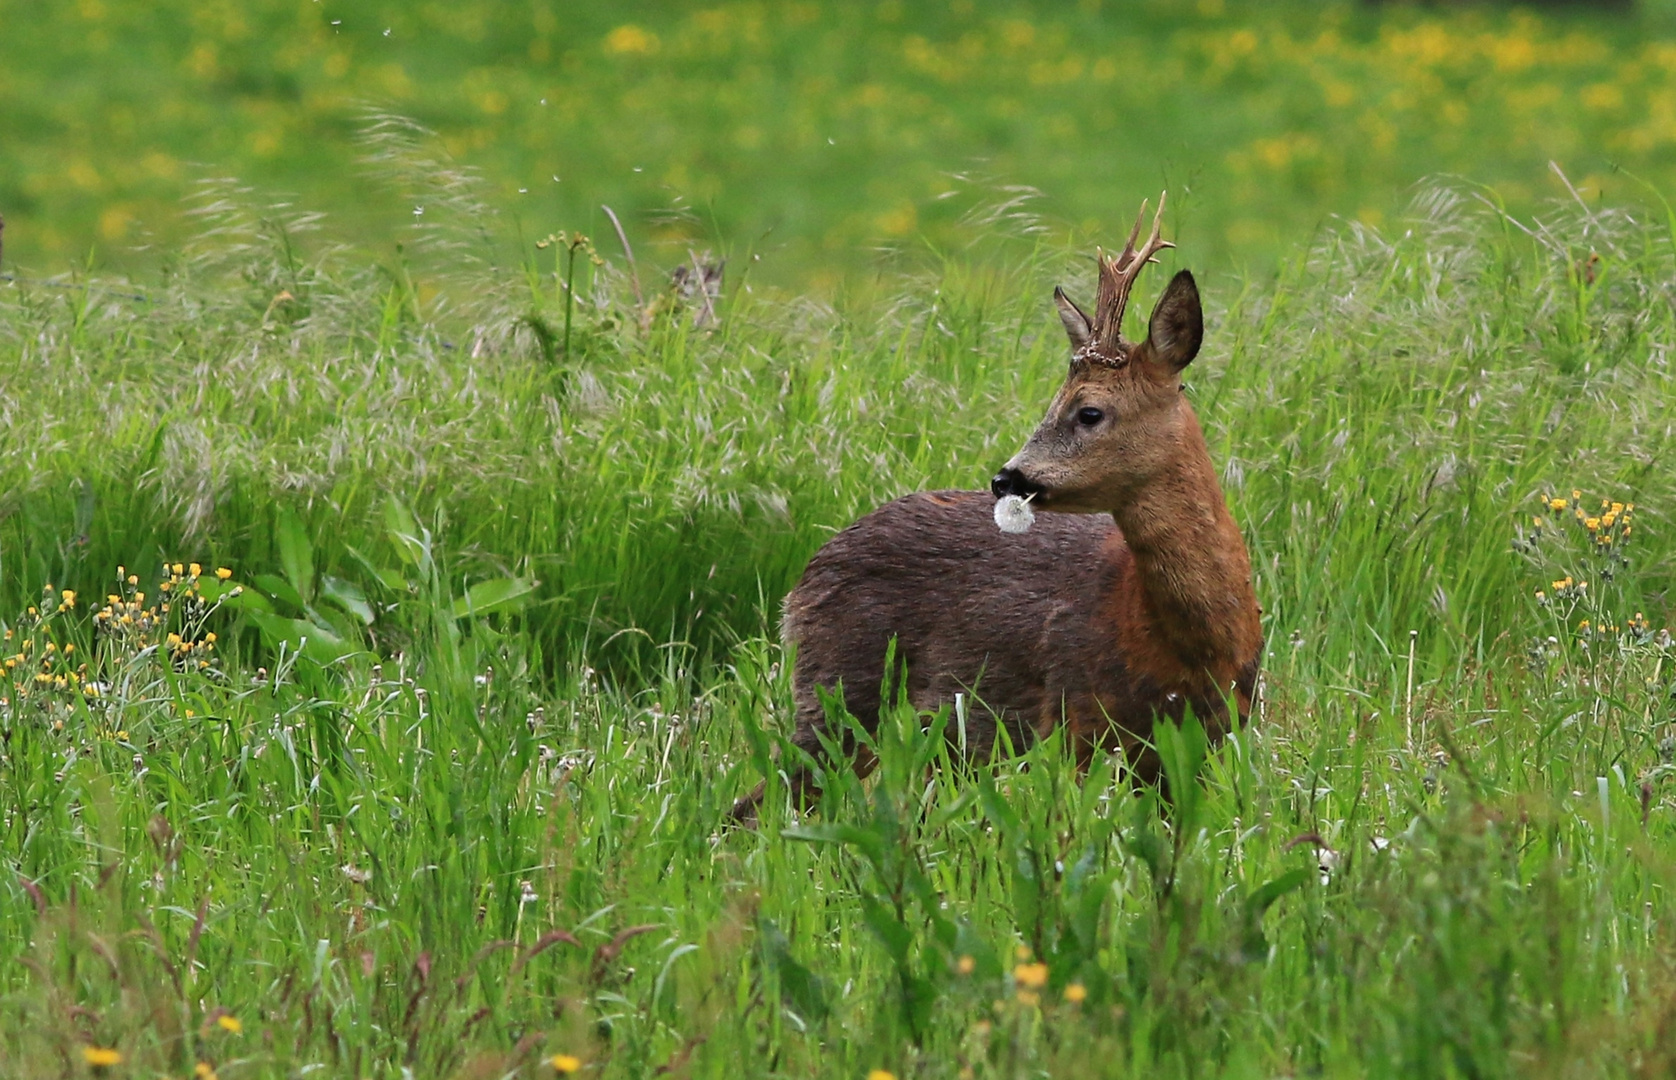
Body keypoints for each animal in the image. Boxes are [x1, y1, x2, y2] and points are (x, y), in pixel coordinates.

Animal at [727, 196, 1260, 818]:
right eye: (1053, 402)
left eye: (1089, 412)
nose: (1007, 477)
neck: (1193, 644)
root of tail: (804, 580)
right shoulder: (1079, 723)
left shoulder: (1202, 742)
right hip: (839, 689)